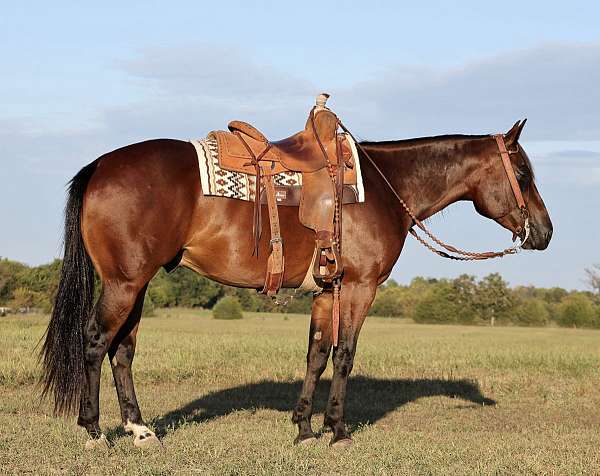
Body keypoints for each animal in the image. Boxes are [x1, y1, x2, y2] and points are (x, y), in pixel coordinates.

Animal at [39, 121, 552, 448]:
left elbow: (317, 354)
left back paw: (140, 429)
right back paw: (94, 431)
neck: (385, 188)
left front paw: (304, 428)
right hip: (124, 283)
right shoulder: (360, 287)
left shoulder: (327, 291)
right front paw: (338, 431)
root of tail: (101, 166)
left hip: (137, 285)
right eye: (523, 174)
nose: (545, 233)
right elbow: (344, 355)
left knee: (122, 350)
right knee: (94, 341)